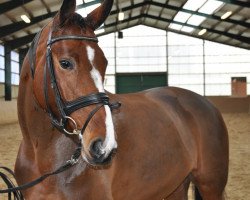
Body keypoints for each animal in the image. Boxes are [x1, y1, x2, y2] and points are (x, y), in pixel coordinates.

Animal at [13, 0, 229, 198]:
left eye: (105, 63)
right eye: (65, 63)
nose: (104, 146)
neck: (40, 153)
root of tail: (207, 103)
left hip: (211, 186)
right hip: (176, 186)